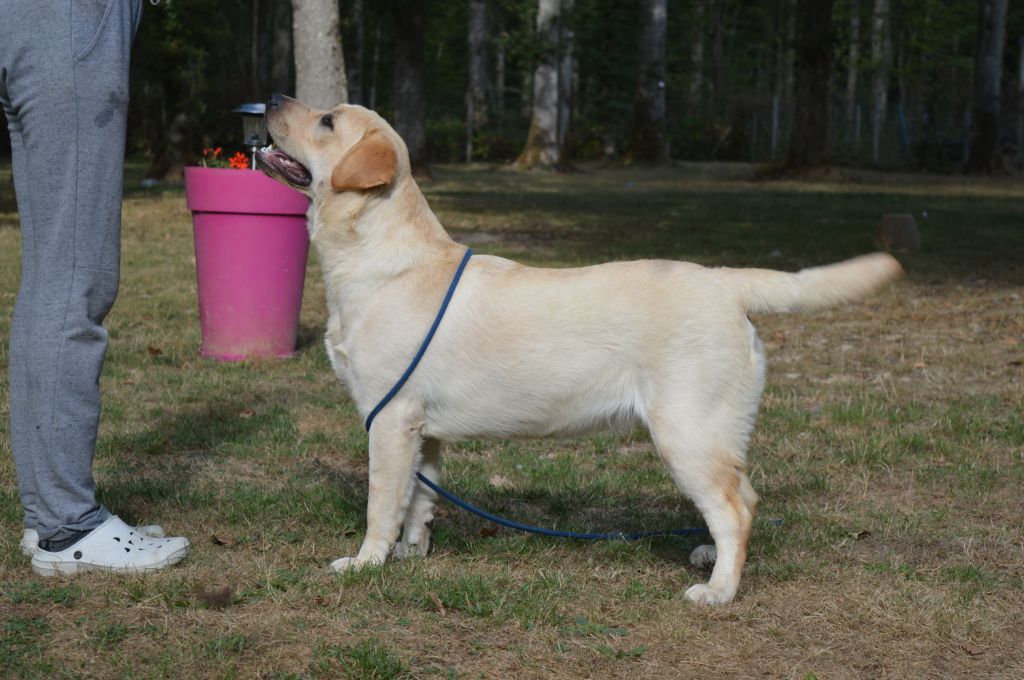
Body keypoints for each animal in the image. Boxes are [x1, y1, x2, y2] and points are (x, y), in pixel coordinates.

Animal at [256, 91, 905, 606]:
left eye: (327, 121)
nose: (271, 97)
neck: (378, 259)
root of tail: (726, 280)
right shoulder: (421, 428)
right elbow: (419, 498)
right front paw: (411, 555)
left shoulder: (388, 420)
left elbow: (381, 504)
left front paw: (366, 563)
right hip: (715, 432)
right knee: (744, 494)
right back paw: (707, 556)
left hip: (685, 432)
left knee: (734, 508)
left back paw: (718, 590)